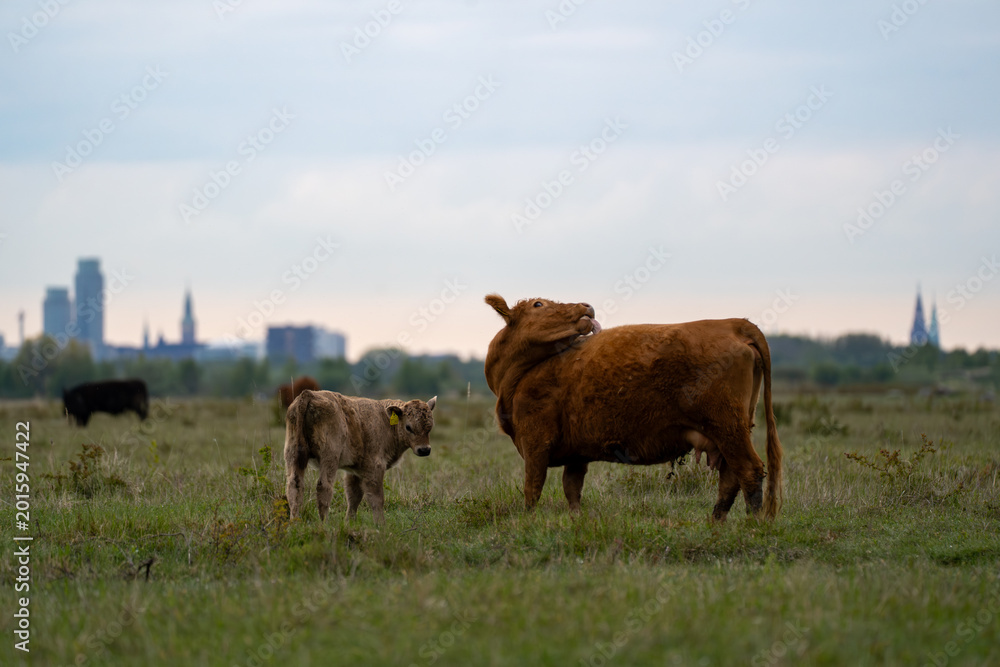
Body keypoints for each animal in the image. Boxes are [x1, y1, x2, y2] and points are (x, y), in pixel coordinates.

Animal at [283, 390, 437, 523]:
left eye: (430, 427)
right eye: (408, 427)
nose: (424, 450)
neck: (385, 421)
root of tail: (309, 394)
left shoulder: (355, 470)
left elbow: (354, 496)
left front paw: (349, 522)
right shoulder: (375, 467)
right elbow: (376, 498)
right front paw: (381, 525)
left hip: (292, 454)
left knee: (294, 486)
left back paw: (294, 522)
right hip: (329, 457)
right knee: (323, 487)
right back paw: (324, 524)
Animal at [483, 294, 783, 521]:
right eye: (538, 304)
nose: (586, 306)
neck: (516, 377)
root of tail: (732, 323)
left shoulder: (535, 442)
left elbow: (532, 490)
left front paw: (528, 523)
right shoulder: (576, 453)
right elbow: (572, 491)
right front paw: (576, 521)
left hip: (727, 427)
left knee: (749, 471)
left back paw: (751, 526)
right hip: (732, 430)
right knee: (730, 477)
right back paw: (715, 523)